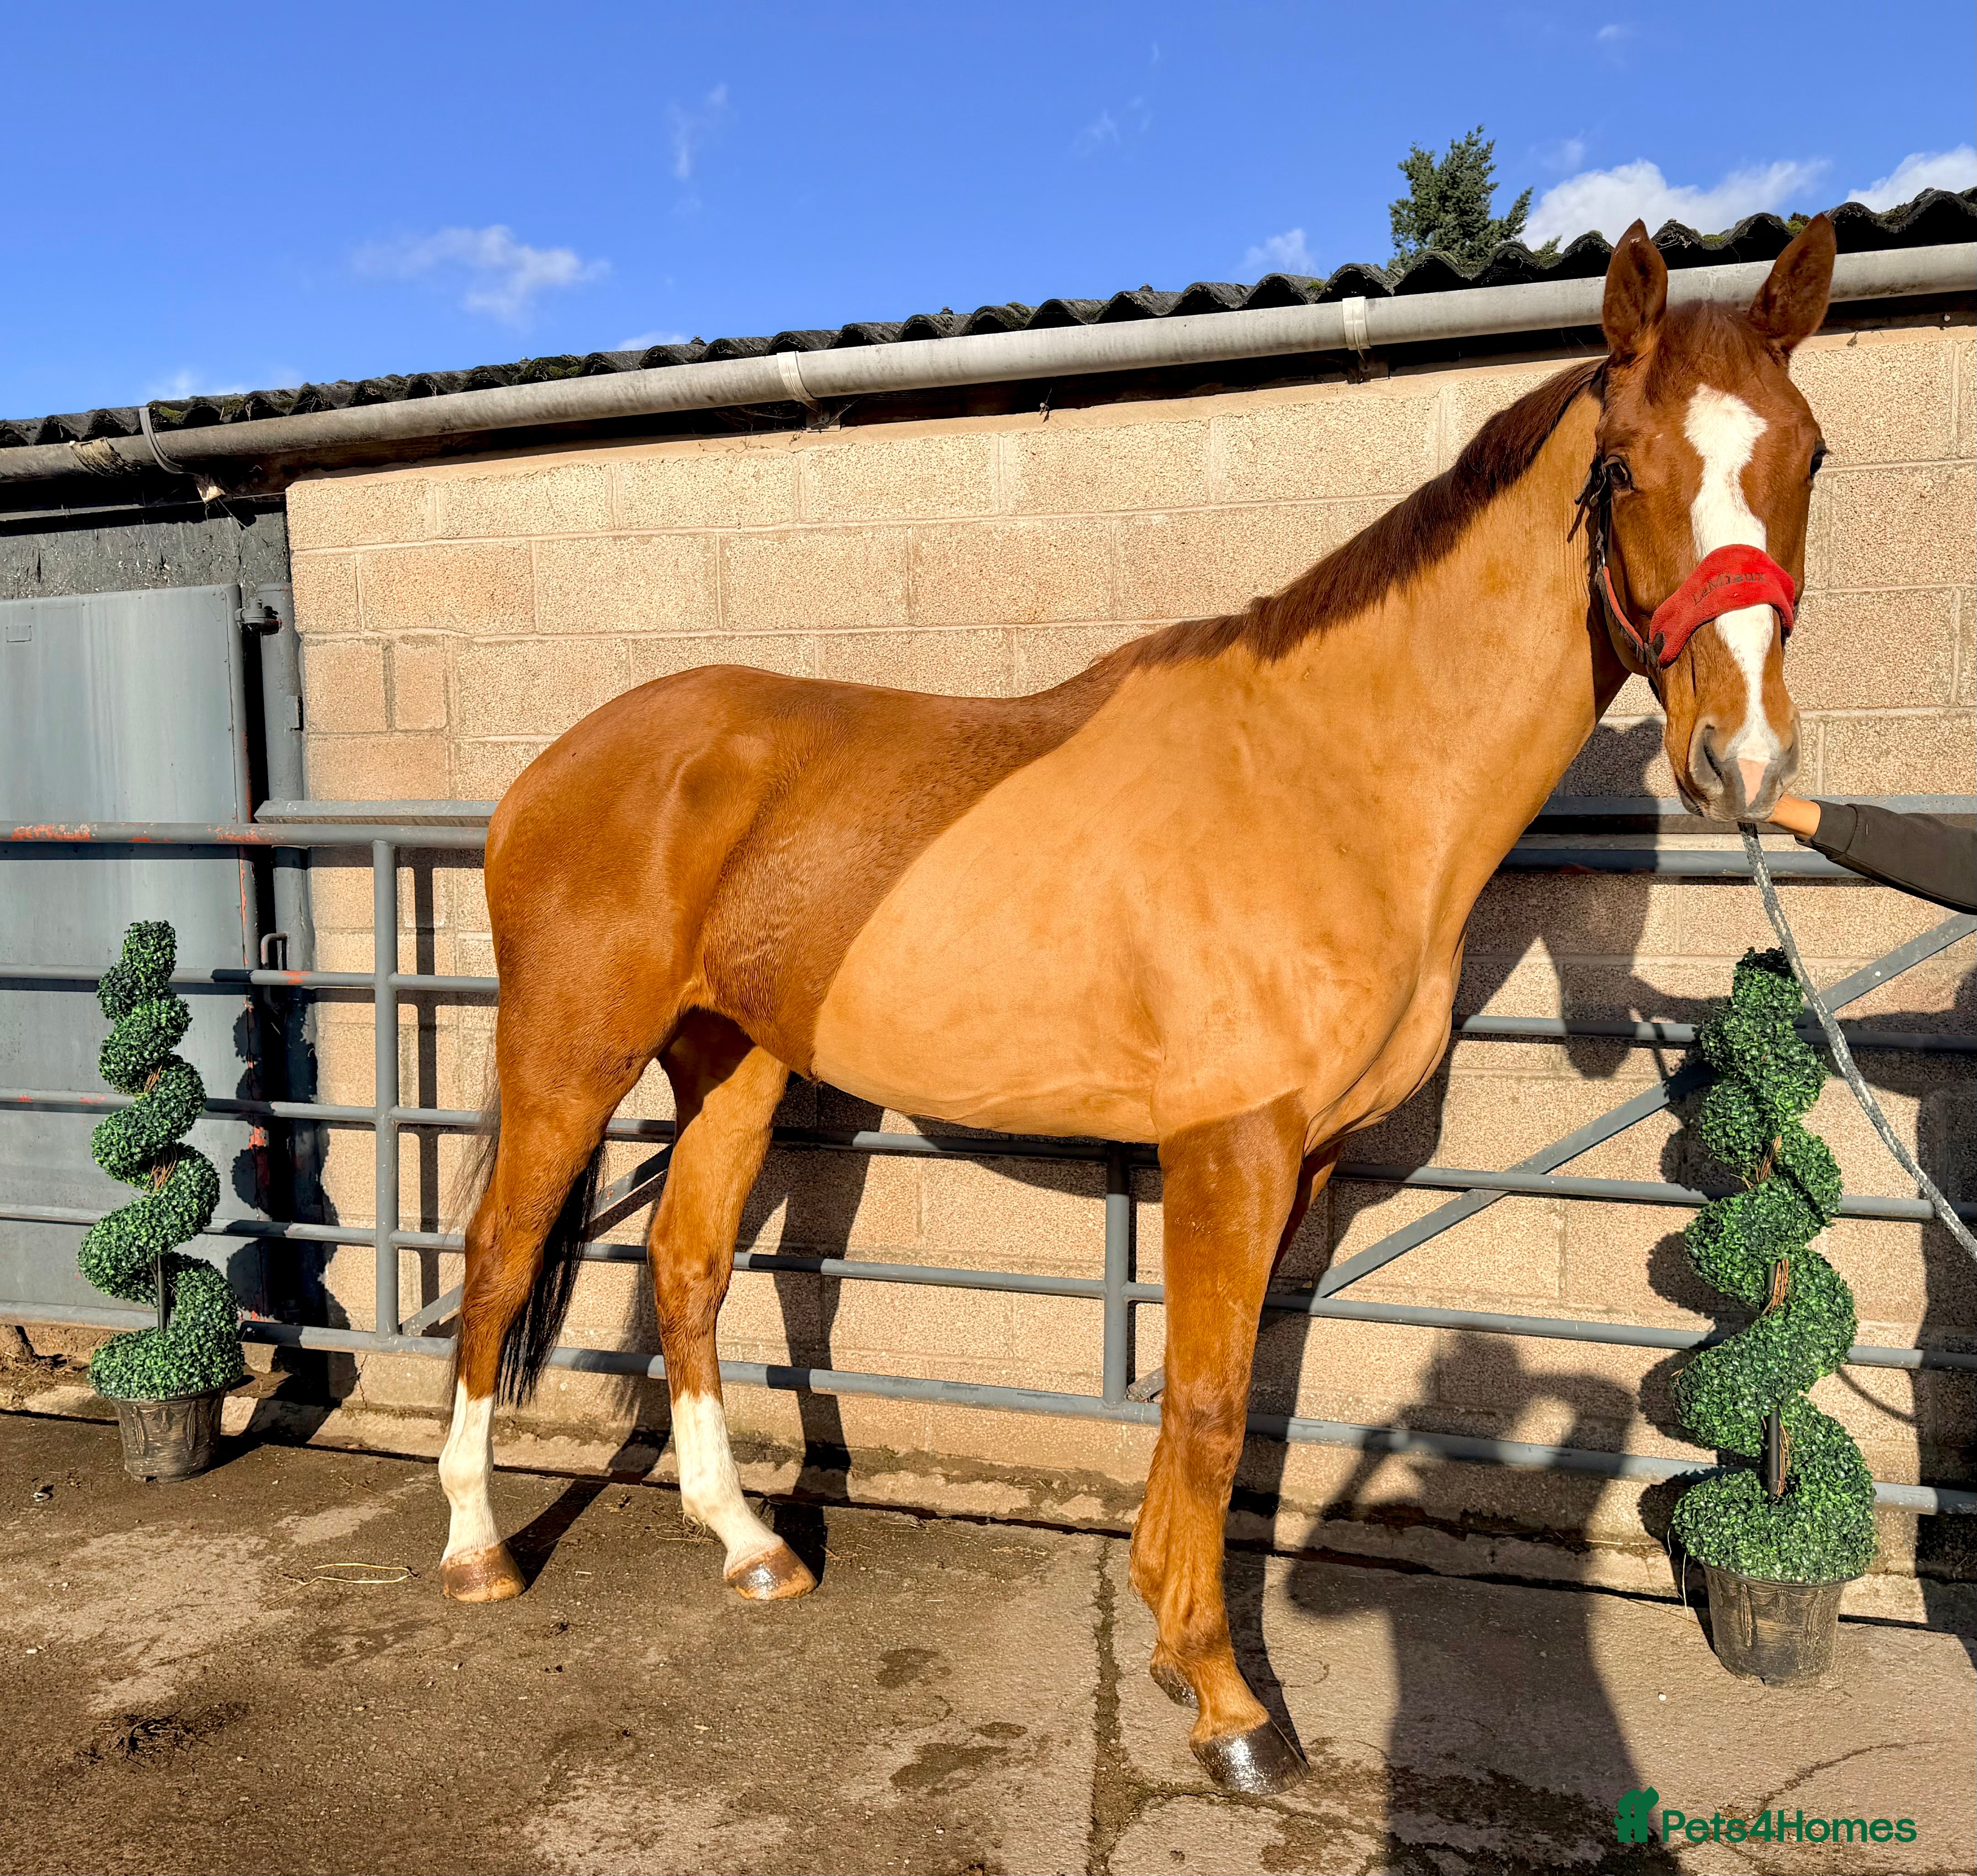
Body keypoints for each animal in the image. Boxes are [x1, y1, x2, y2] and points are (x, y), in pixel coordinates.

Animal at [434, 217, 1835, 1793]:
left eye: (1808, 457)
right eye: (1626, 468)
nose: (1742, 756)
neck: (1331, 778)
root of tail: (554, 767)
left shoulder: (1299, 1159)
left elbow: (1214, 1388)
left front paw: (1173, 1642)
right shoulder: (1230, 1141)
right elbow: (1212, 1403)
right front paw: (1229, 1703)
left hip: (729, 1060)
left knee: (685, 1263)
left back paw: (746, 1544)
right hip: (571, 1051)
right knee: (498, 1255)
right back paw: (477, 1547)